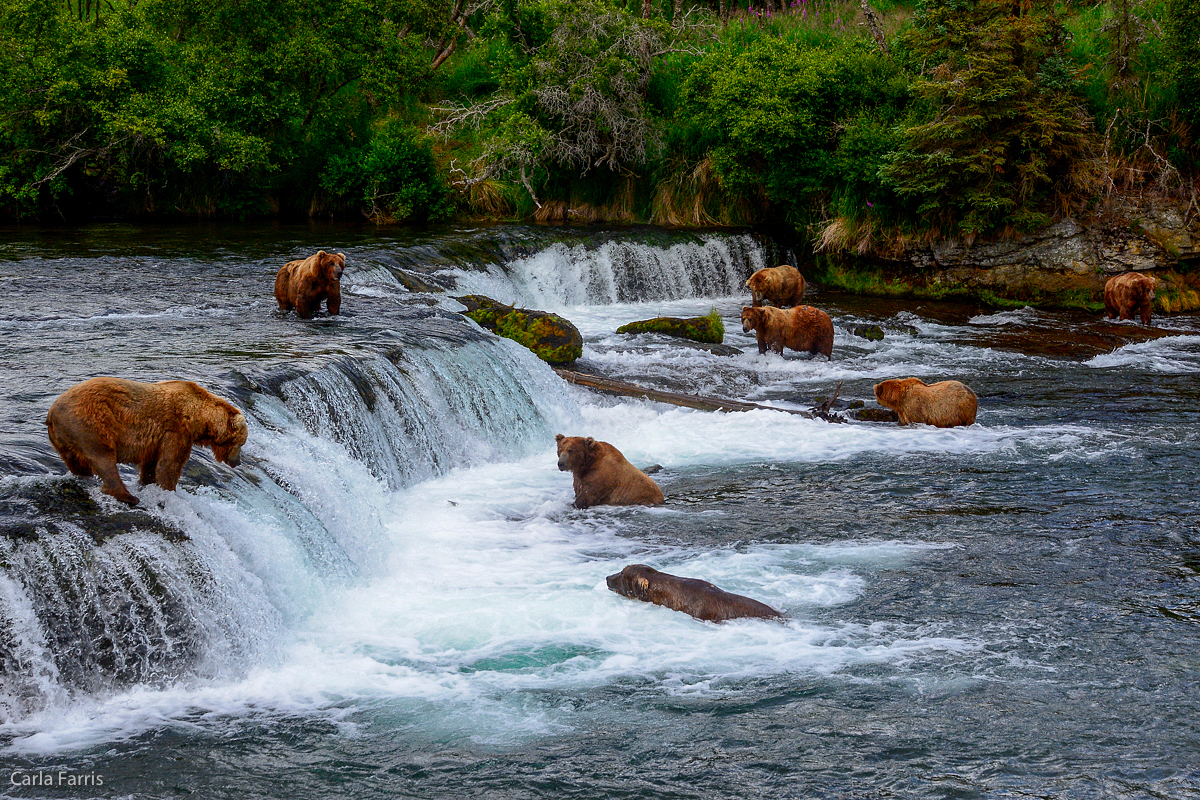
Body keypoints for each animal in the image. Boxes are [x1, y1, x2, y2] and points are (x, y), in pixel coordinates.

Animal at [45, 376, 248, 506]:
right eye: (241, 443)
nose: (237, 462)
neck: (199, 418)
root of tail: (52, 412)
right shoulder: (176, 431)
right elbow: (169, 464)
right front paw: (169, 490)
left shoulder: (157, 441)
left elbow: (152, 465)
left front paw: (148, 482)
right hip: (90, 423)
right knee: (103, 457)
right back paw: (127, 496)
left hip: (65, 437)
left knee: (77, 461)